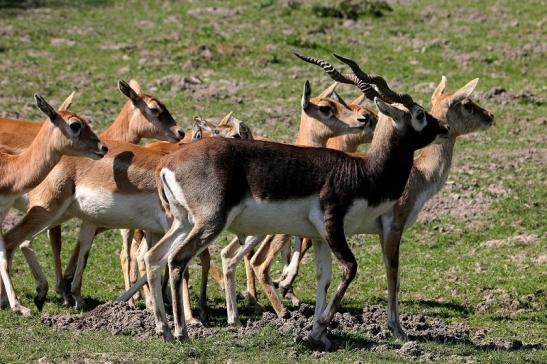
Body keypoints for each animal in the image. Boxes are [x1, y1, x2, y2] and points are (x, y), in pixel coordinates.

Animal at [144, 55, 450, 346]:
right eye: (420, 114)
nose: (444, 127)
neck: (363, 171)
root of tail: (168, 163)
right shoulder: (333, 226)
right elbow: (351, 269)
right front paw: (318, 331)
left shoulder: (318, 237)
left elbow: (323, 279)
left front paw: (318, 335)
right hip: (209, 223)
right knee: (177, 260)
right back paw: (182, 332)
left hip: (183, 222)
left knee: (153, 257)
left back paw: (164, 331)